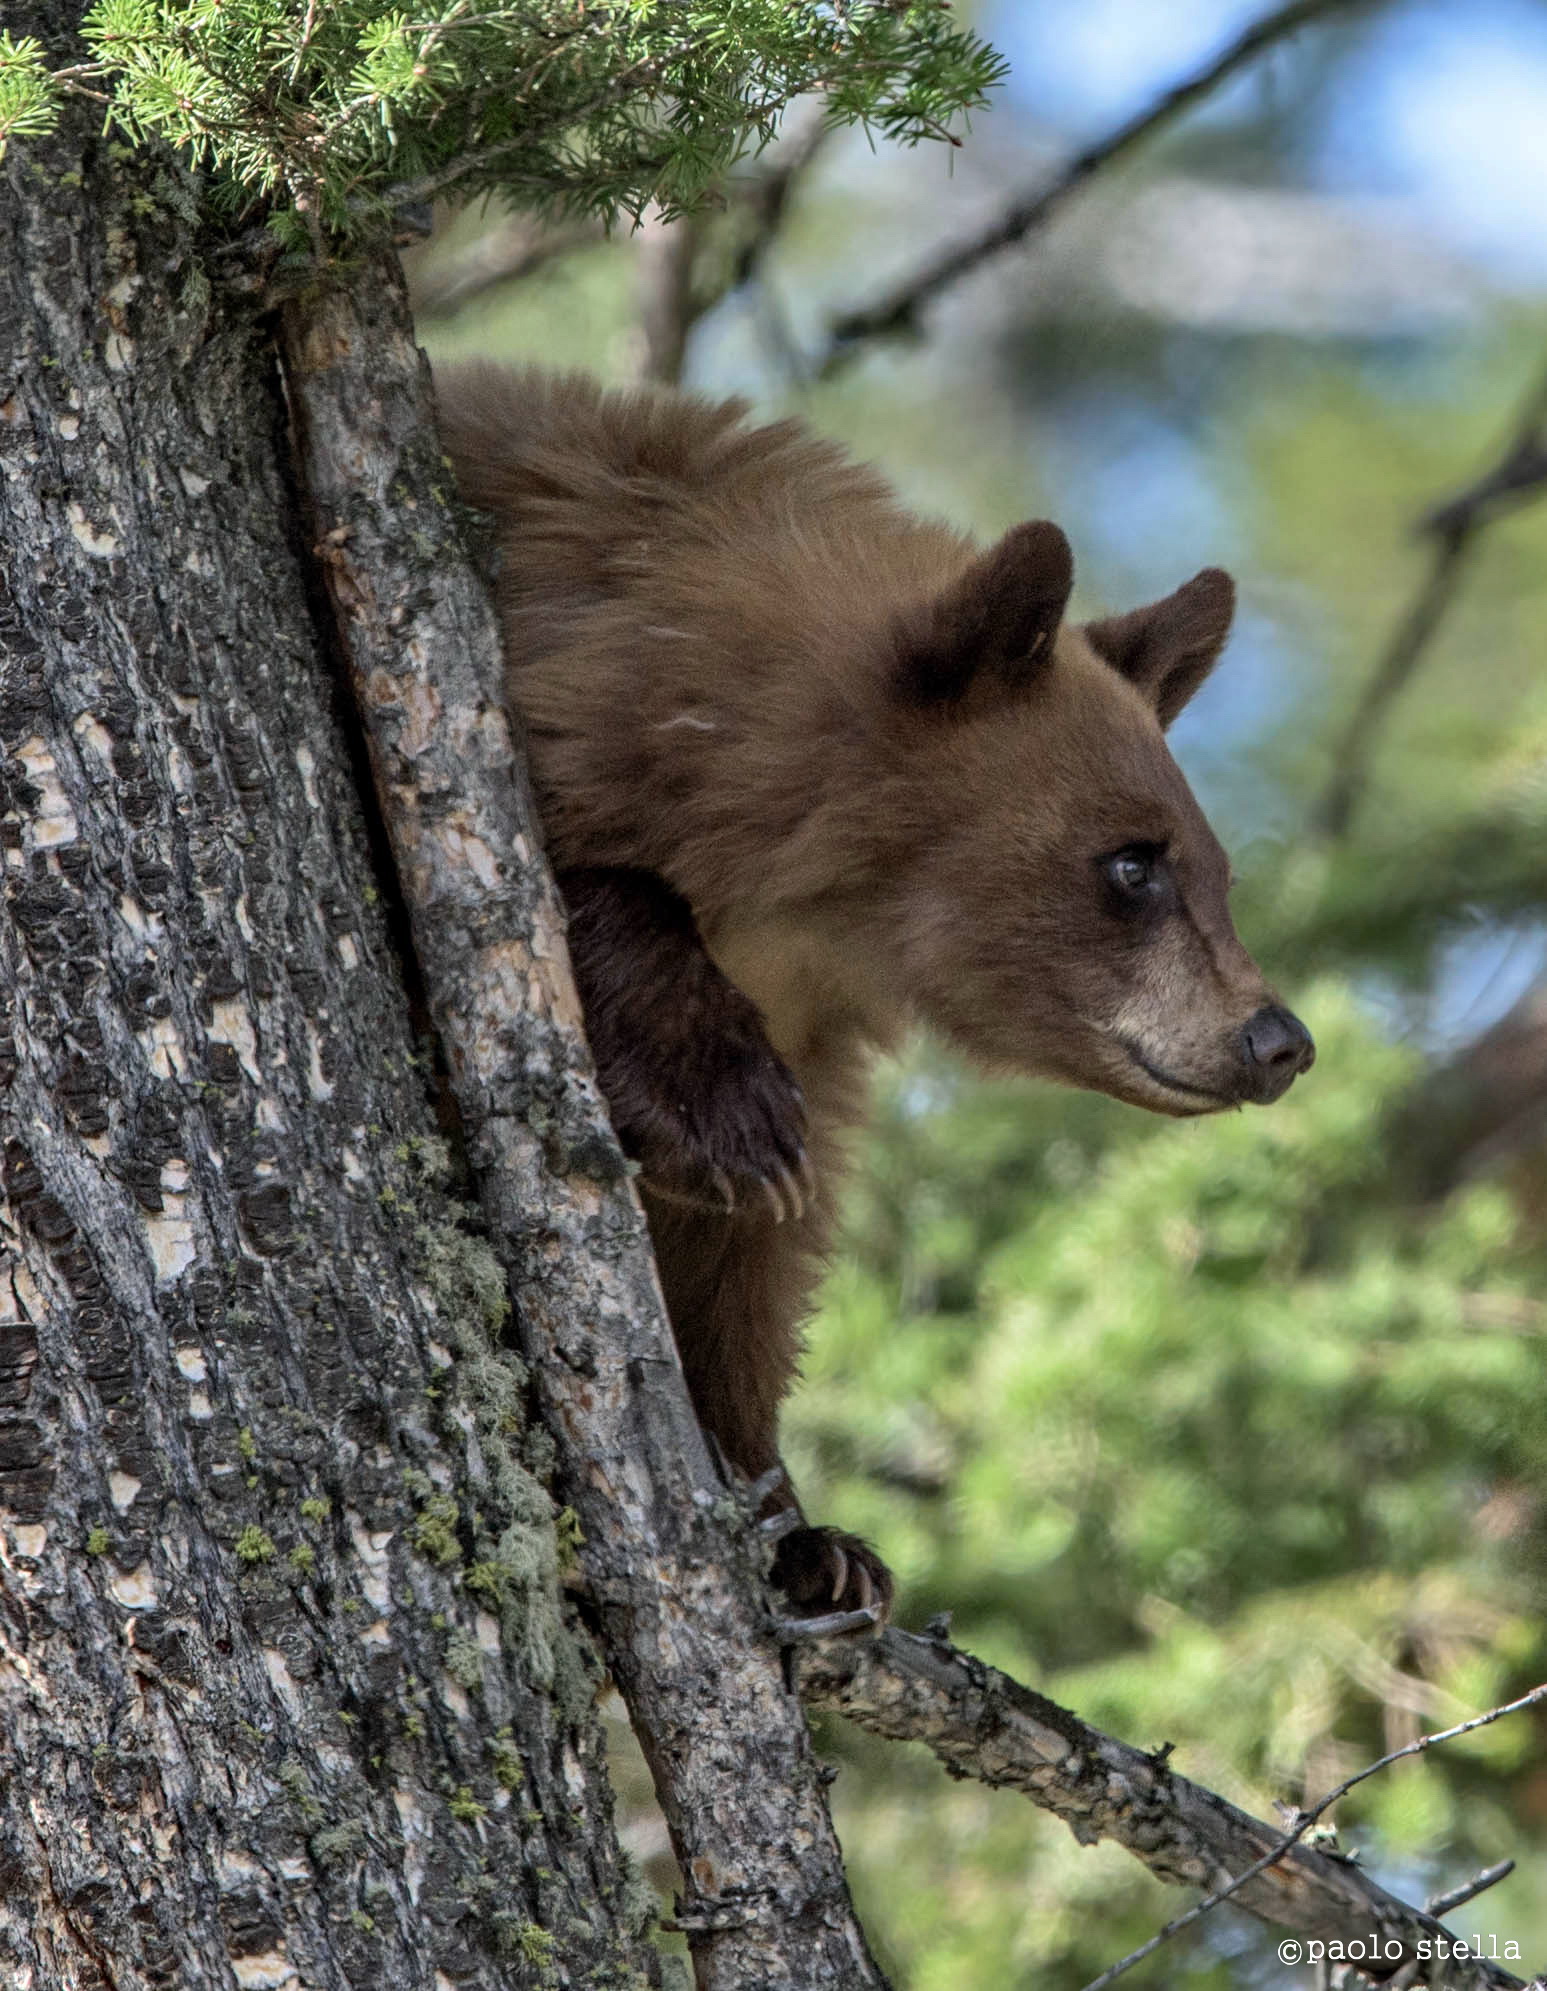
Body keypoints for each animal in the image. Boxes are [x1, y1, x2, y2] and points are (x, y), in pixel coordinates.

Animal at [433, 364, 1314, 1626]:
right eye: (1130, 863)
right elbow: (584, 886)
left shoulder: (809, 1015)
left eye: (1216, 872)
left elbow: (743, 1265)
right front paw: (726, 1114)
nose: (1276, 1038)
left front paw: (802, 1530)